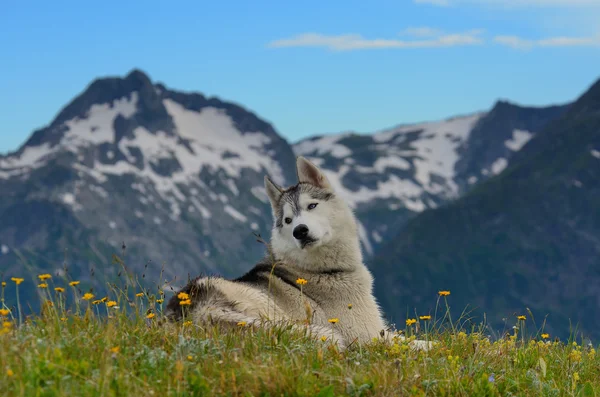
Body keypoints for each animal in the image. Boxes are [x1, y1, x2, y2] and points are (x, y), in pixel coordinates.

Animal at [166, 156, 392, 348]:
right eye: (288, 220)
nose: (299, 231)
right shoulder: (369, 333)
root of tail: (197, 310)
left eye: (312, 206)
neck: (319, 271)